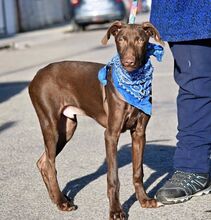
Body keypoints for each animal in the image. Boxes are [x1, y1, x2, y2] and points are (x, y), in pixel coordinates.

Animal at [28, 21, 163, 220]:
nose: (128, 62)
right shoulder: (111, 134)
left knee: (43, 162)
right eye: (121, 39)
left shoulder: (139, 133)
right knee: (50, 164)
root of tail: (37, 75)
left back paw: (58, 197)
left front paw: (144, 200)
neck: (132, 82)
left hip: (67, 127)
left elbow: (138, 171)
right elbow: (113, 177)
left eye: (140, 40)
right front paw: (116, 210)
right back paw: (61, 202)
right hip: (50, 124)